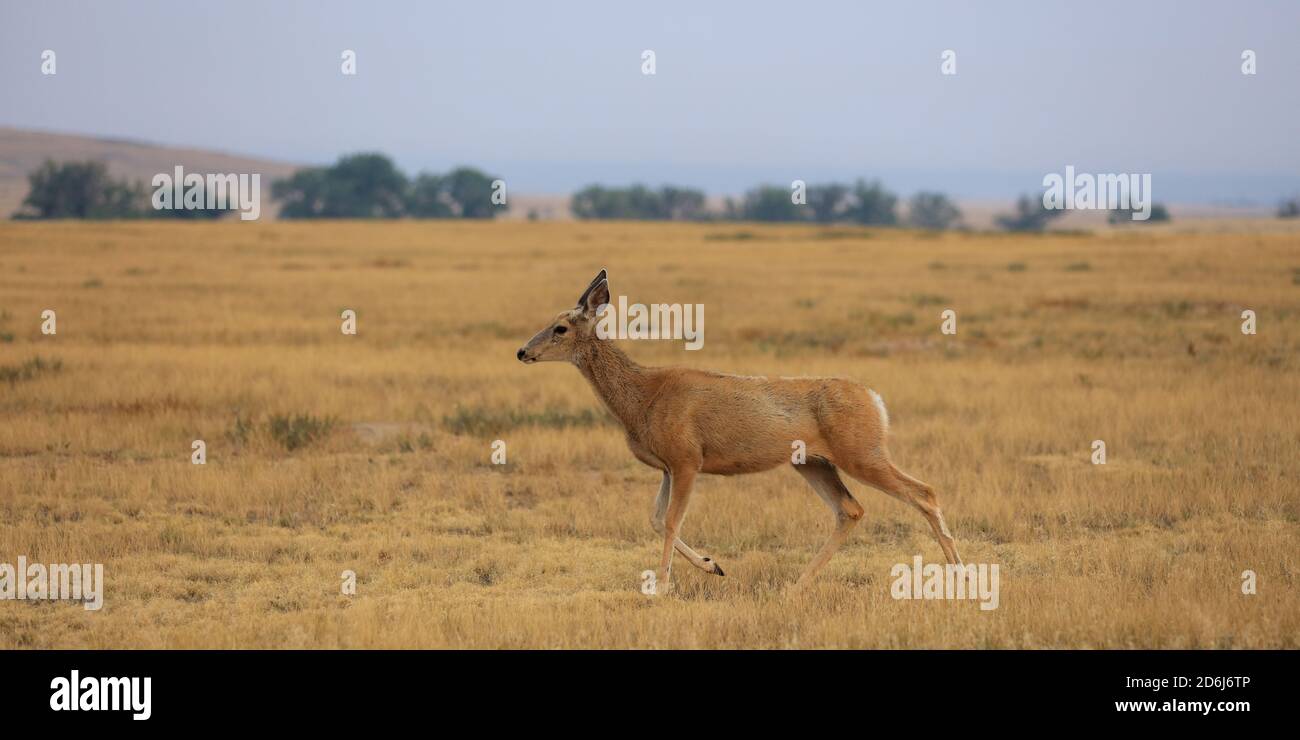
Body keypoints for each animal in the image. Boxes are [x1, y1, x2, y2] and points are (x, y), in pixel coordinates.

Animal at [516, 269, 961, 594]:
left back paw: (959, 572)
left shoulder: (687, 460)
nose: (523, 351)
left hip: (862, 453)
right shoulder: (667, 467)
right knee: (850, 509)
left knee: (923, 492)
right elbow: (656, 519)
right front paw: (713, 566)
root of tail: (874, 399)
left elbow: (671, 521)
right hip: (813, 463)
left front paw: (662, 586)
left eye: (560, 328)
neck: (643, 396)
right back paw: (795, 586)